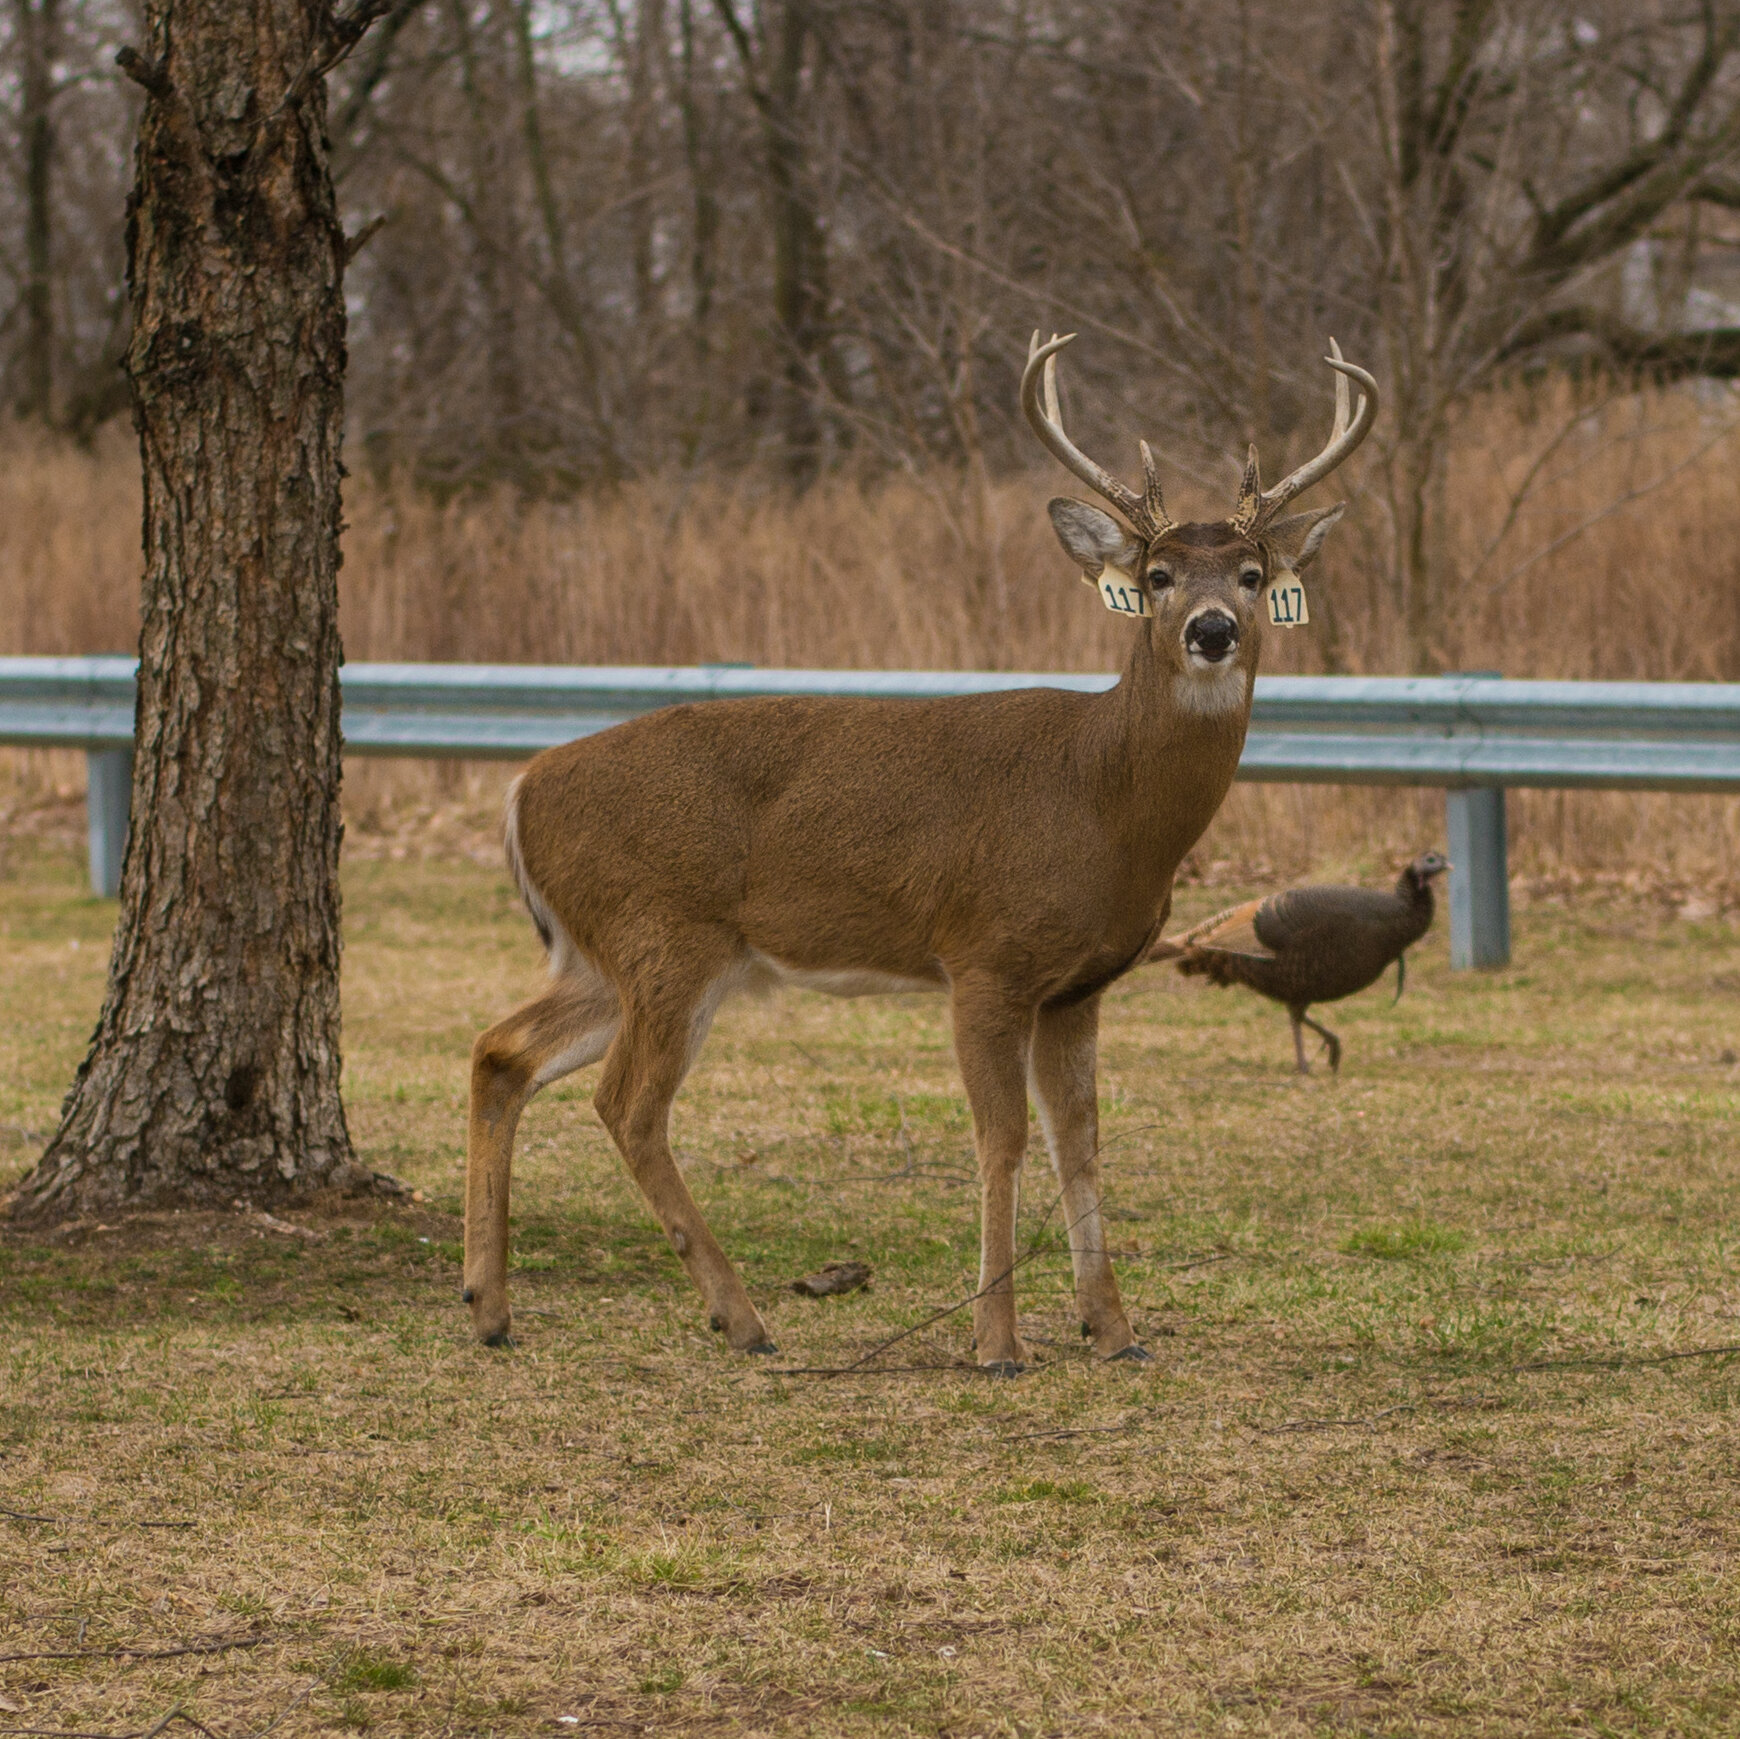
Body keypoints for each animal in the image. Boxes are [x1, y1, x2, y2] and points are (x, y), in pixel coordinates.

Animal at [459, 335, 1371, 1371]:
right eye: (1159, 573)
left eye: (1254, 574)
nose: (1211, 631)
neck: (1104, 800)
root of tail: (521, 790)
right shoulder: (984, 955)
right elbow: (1001, 1137)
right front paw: (996, 1339)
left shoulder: (1080, 984)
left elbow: (1082, 1138)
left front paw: (1114, 1329)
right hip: (665, 935)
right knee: (627, 1104)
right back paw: (741, 1316)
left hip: (603, 952)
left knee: (501, 1050)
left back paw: (489, 1305)